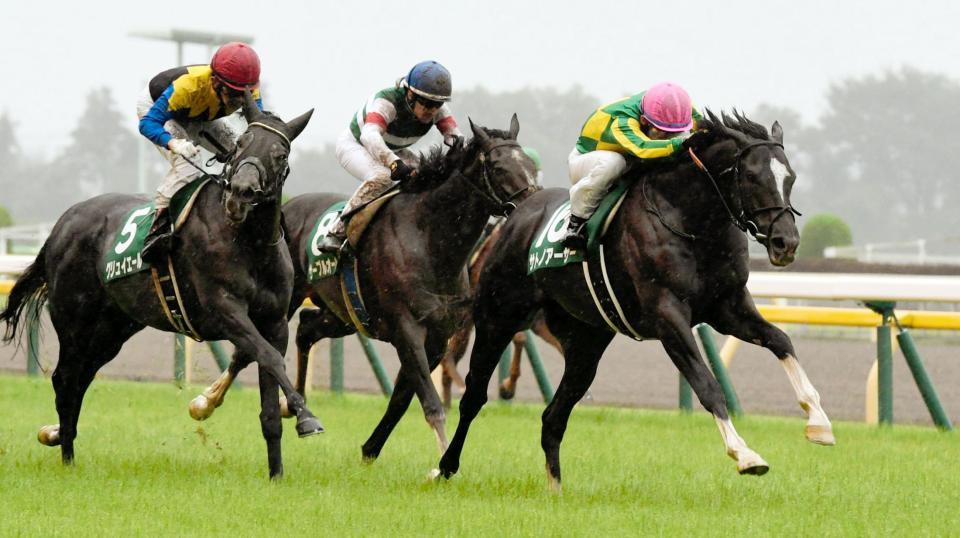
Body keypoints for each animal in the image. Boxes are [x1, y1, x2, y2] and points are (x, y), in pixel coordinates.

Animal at [0, 92, 322, 478]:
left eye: (280, 154)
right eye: (241, 144)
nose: (241, 193)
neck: (248, 241)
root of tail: (61, 225)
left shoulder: (274, 322)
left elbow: (270, 394)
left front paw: (276, 473)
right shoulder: (226, 313)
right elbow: (269, 357)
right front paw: (306, 418)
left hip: (111, 331)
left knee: (80, 379)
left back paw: (60, 438)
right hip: (74, 323)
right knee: (65, 381)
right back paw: (66, 457)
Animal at [191, 115, 544, 458]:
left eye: (530, 163)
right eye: (498, 166)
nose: (533, 206)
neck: (429, 240)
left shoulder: (437, 337)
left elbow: (401, 399)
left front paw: (370, 451)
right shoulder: (407, 330)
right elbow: (429, 401)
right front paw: (441, 461)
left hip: (344, 315)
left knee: (306, 330)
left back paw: (291, 405)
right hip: (285, 301)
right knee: (247, 351)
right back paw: (206, 402)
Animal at [436, 111, 832, 488]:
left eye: (790, 177)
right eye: (751, 176)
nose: (786, 243)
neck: (691, 222)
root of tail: (518, 214)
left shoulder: (727, 307)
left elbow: (781, 340)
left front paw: (819, 421)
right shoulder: (667, 316)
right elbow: (707, 384)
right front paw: (746, 455)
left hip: (586, 340)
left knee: (553, 417)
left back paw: (555, 488)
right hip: (497, 317)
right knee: (474, 395)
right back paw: (444, 466)